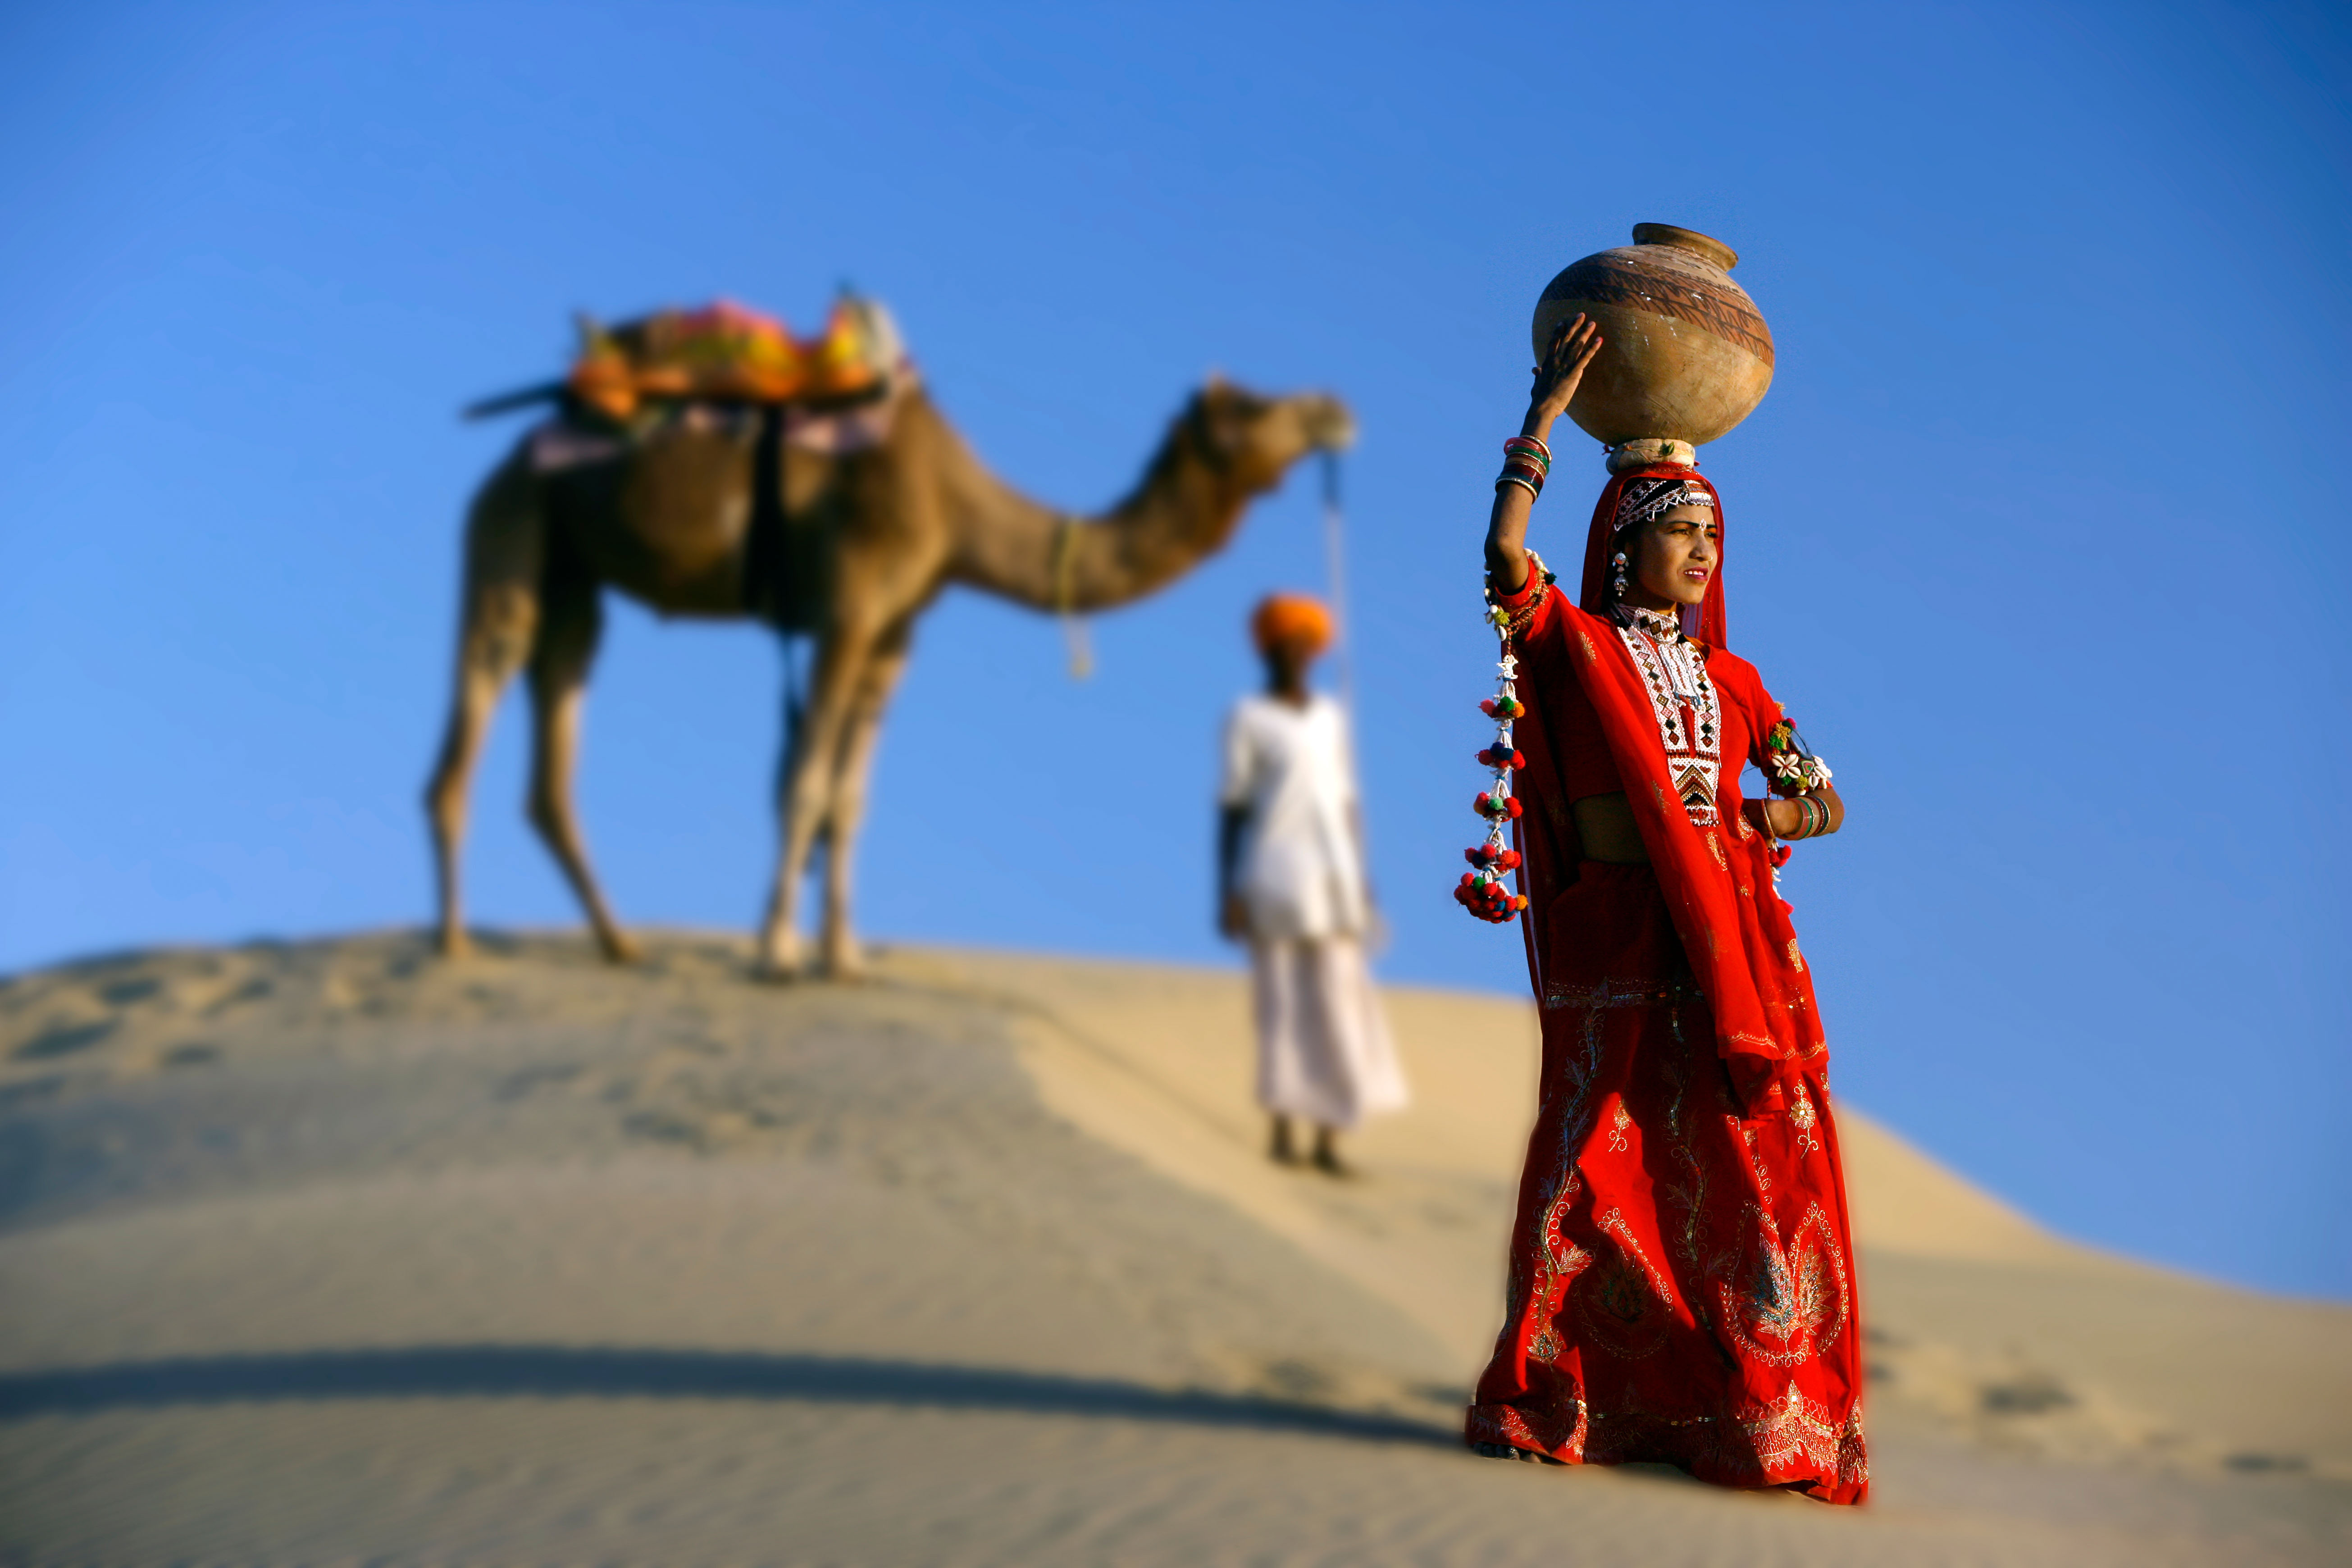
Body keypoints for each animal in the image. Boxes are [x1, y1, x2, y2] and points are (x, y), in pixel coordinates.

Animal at [421, 376, 1345, 973]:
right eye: (1257, 404)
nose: (1338, 409)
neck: (956, 510)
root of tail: (507, 458)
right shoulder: (851, 606)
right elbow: (803, 783)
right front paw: (778, 951)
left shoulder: (897, 632)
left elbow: (848, 799)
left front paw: (846, 956)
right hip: (510, 527)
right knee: (480, 692)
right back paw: (454, 943)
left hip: (573, 572)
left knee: (554, 741)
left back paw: (619, 945)